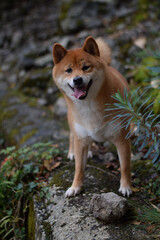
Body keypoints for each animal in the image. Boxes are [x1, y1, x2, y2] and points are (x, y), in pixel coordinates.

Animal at [52, 35, 132, 197]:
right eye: (68, 70)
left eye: (85, 67)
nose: (77, 79)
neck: (89, 106)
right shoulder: (81, 138)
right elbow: (78, 168)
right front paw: (75, 187)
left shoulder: (121, 140)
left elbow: (125, 166)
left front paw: (126, 186)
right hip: (74, 125)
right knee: (72, 135)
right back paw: (72, 152)